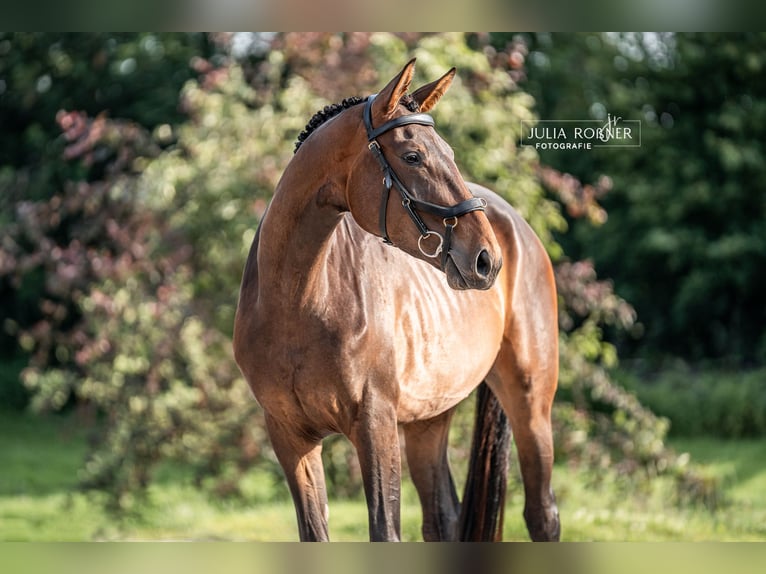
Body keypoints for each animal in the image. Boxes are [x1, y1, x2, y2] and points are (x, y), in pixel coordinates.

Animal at [233, 59, 560, 542]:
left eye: (449, 154)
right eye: (412, 157)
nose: (487, 259)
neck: (297, 302)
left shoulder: (375, 426)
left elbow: (384, 530)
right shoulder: (291, 438)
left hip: (530, 403)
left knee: (542, 514)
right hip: (430, 419)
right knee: (442, 518)